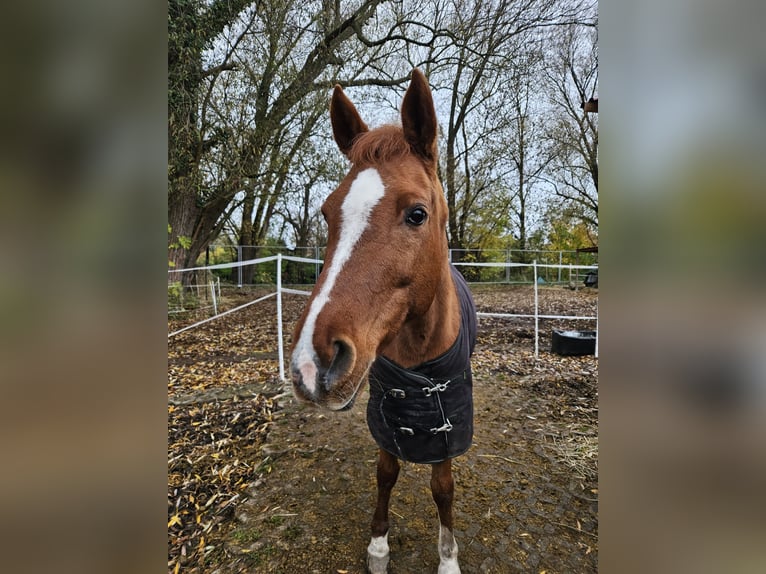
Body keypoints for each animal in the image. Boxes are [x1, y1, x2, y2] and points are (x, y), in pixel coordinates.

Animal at [290, 69, 476, 574]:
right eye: (327, 213)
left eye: (417, 213)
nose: (311, 362)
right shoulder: (385, 411)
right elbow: (386, 472)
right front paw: (378, 547)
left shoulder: (449, 423)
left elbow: (443, 489)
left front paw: (448, 558)